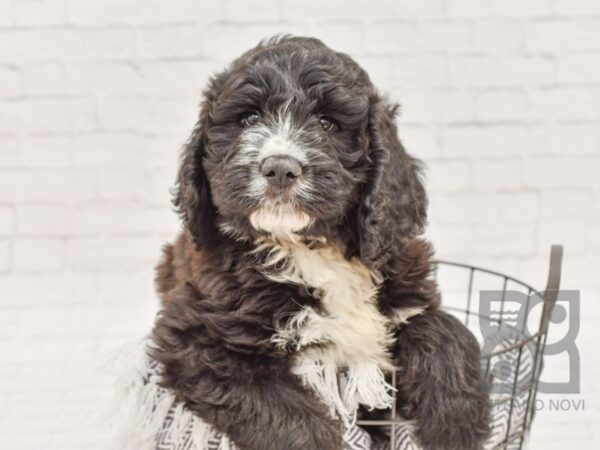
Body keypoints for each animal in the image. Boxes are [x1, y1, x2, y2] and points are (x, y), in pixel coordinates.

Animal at [152, 36, 490, 450]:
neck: (310, 246)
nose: (280, 167)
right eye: (249, 119)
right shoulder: (197, 340)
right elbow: (288, 415)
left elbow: (443, 327)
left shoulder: (407, 288)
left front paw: (455, 423)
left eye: (328, 124)